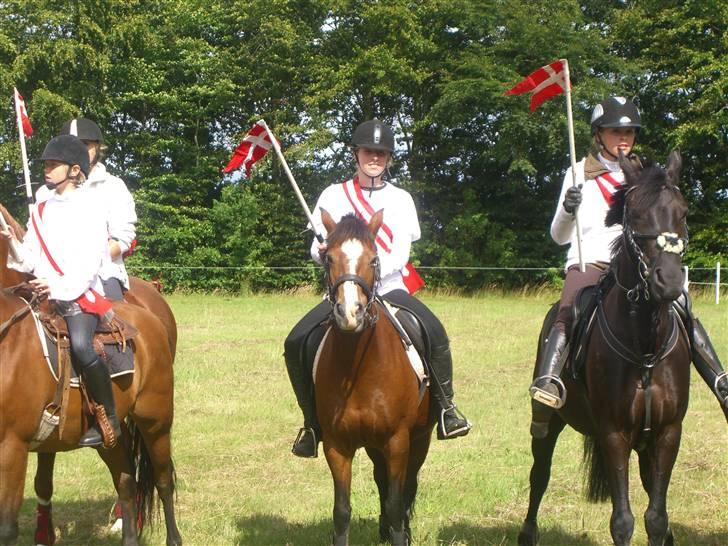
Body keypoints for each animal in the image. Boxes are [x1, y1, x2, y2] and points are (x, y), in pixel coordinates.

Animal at [316, 209, 436, 544]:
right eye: (328, 257)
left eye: (373, 260)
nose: (350, 313)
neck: (357, 369)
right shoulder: (337, 445)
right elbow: (341, 511)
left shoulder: (398, 441)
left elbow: (397, 502)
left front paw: (400, 532)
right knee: (381, 479)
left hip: (420, 438)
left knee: (408, 485)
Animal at [520, 150, 692, 544]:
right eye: (635, 213)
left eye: (683, 211)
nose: (668, 281)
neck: (646, 349)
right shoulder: (614, 433)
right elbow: (623, 520)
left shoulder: (667, 433)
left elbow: (656, 516)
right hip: (548, 423)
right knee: (539, 475)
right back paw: (527, 533)